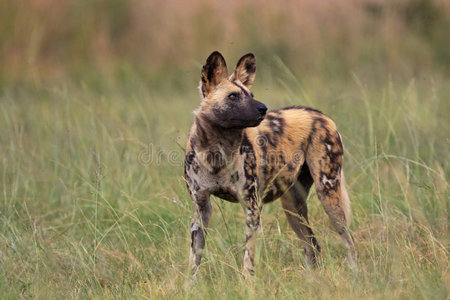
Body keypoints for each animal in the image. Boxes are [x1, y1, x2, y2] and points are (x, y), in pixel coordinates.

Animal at [183, 51, 356, 276]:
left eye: (251, 94)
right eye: (232, 96)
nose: (263, 108)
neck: (217, 153)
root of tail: (322, 115)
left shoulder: (252, 208)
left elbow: (248, 256)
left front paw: (247, 281)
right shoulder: (201, 209)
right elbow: (194, 260)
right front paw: (190, 283)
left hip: (328, 195)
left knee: (348, 240)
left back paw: (355, 273)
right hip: (292, 206)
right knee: (312, 247)